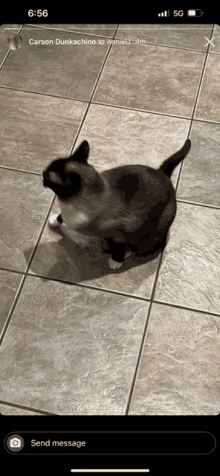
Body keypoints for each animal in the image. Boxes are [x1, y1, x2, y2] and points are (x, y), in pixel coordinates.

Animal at [42, 139, 191, 270]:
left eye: (46, 177)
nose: (41, 174)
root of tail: (162, 173)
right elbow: (60, 217)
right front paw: (54, 220)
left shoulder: (118, 234)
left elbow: (118, 248)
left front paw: (115, 261)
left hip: (150, 236)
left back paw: (126, 253)